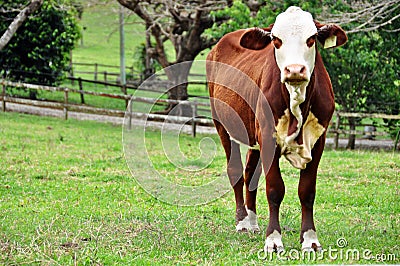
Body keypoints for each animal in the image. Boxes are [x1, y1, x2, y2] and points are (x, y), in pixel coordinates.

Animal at [206, 5, 346, 251]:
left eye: (311, 38)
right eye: (276, 40)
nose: (295, 69)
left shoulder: (318, 141)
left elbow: (307, 191)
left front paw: (310, 239)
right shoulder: (268, 138)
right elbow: (274, 189)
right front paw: (273, 240)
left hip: (253, 135)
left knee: (250, 174)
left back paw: (252, 222)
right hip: (222, 124)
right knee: (236, 171)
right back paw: (242, 222)